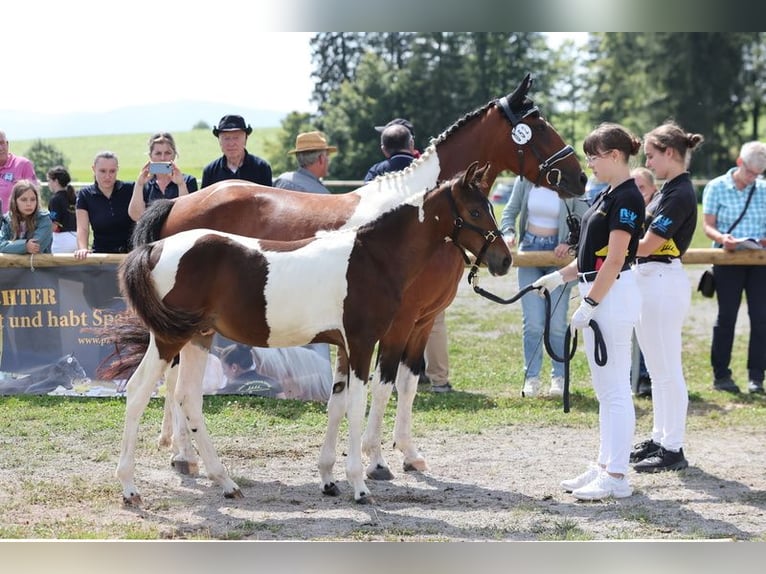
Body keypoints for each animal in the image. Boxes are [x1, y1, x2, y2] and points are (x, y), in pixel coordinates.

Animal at [115, 161, 510, 504]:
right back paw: (130, 488)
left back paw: (225, 482)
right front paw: (360, 486)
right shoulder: (364, 342)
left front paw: (328, 479)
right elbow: (357, 404)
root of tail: (155, 248)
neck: (372, 257)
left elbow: (336, 404)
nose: (504, 260)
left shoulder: (345, 347)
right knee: (138, 392)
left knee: (188, 398)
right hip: (169, 339)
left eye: (490, 206)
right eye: (475, 211)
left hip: (199, 337)